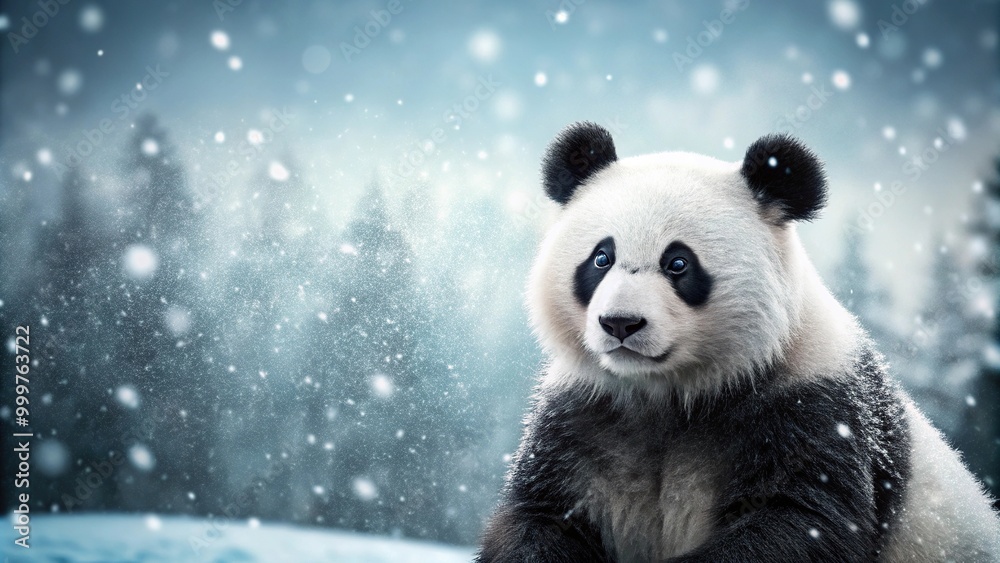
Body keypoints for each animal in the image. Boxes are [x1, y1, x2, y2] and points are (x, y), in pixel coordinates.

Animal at [476, 122, 1000, 562]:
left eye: (678, 263)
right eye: (601, 258)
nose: (620, 323)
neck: (668, 391)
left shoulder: (811, 405)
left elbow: (800, 521)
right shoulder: (583, 415)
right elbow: (542, 516)